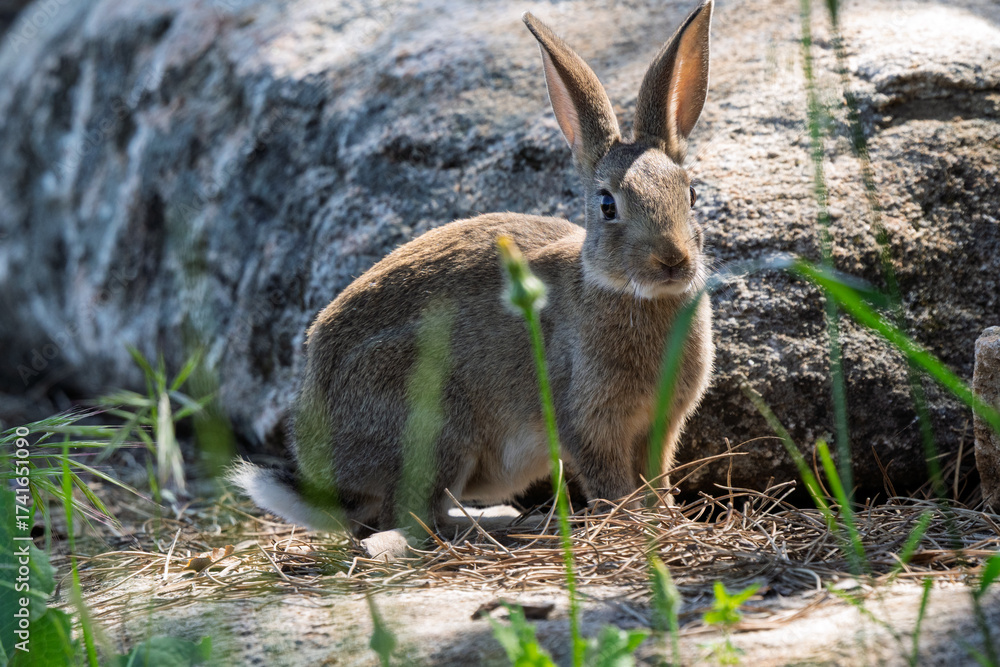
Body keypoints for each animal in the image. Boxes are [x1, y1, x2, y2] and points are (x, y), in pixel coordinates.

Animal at [230, 0, 715, 538]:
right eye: (608, 206)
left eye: (692, 195)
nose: (672, 261)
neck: (628, 292)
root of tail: (325, 472)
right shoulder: (587, 421)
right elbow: (609, 481)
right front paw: (631, 523)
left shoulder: (662, 424)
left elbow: (658, 474)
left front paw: (667, 516)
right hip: (432, 420)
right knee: (406, 517)